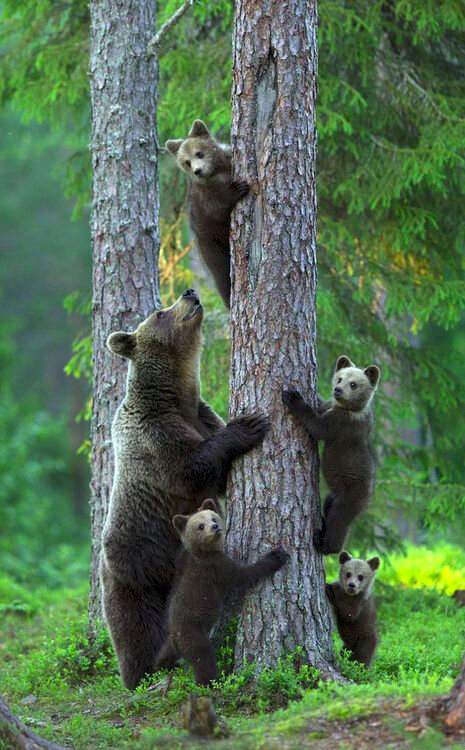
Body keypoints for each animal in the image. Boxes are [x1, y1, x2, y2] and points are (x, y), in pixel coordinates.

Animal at [101, 290, 268, 692]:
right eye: (160, 312)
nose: (189, 293)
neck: (176, 397)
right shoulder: (154, 435)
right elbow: (190, 466)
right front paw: (249, 424)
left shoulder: (200, 416)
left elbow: (217, 475)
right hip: (136, 571)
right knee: (136, 629)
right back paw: (141, 673)